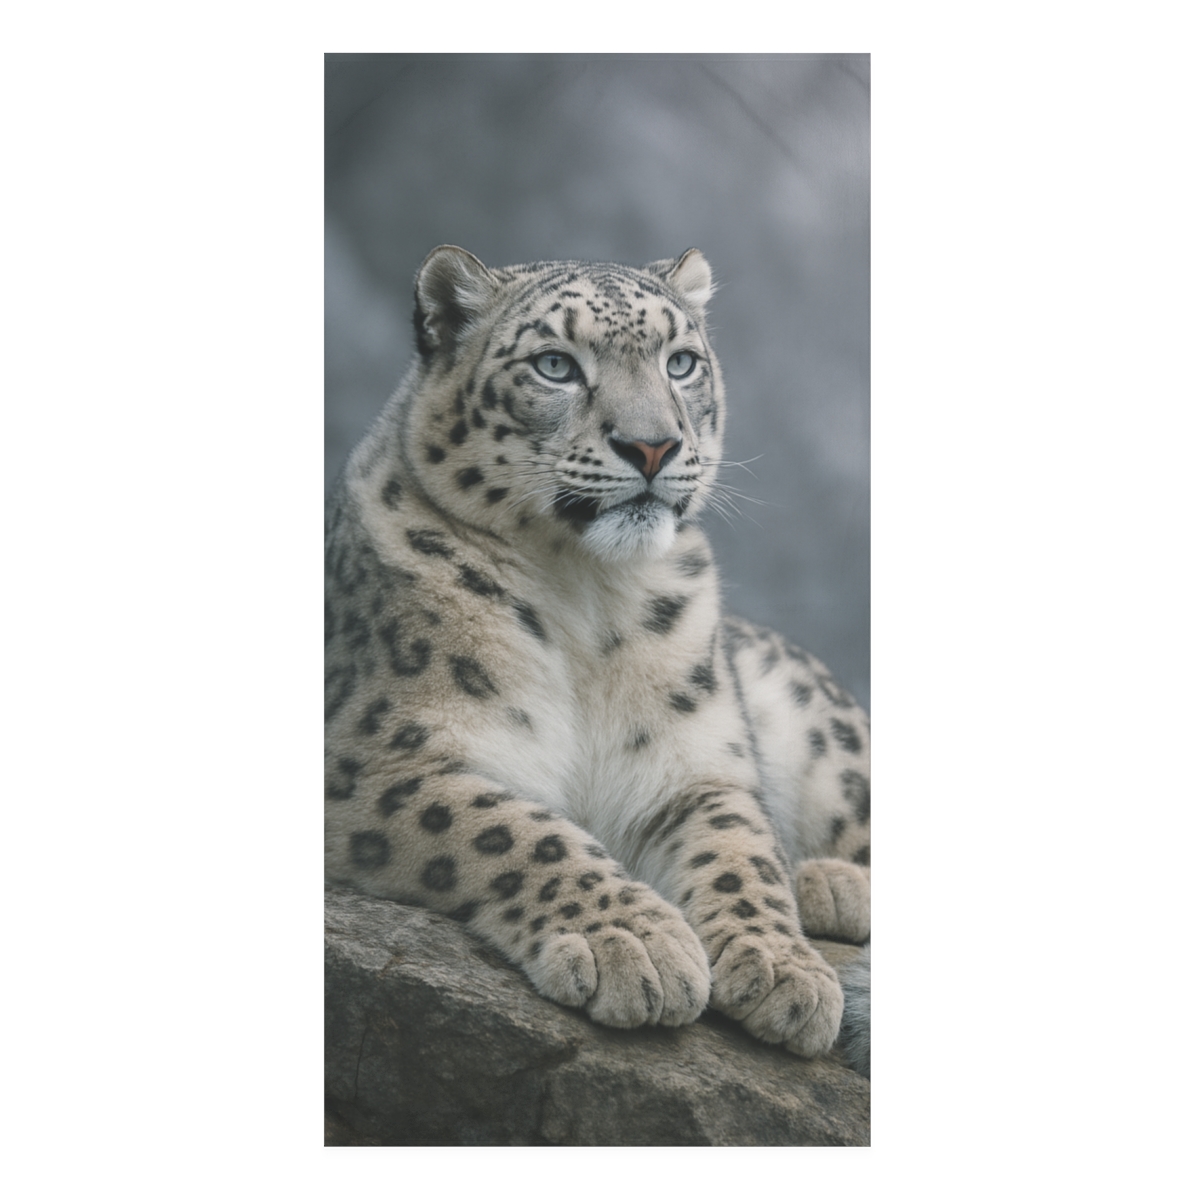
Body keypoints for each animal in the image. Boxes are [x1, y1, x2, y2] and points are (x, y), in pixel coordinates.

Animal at [325, 245, 871, 1070]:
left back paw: (827, 883)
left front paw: (783, 968)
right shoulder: (378, 760)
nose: (652, 445)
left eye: (680, 362)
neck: (587, 595)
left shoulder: (696, 766)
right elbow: (511, 829)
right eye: (555, 364)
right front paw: (633, 944)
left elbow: (740, 848)